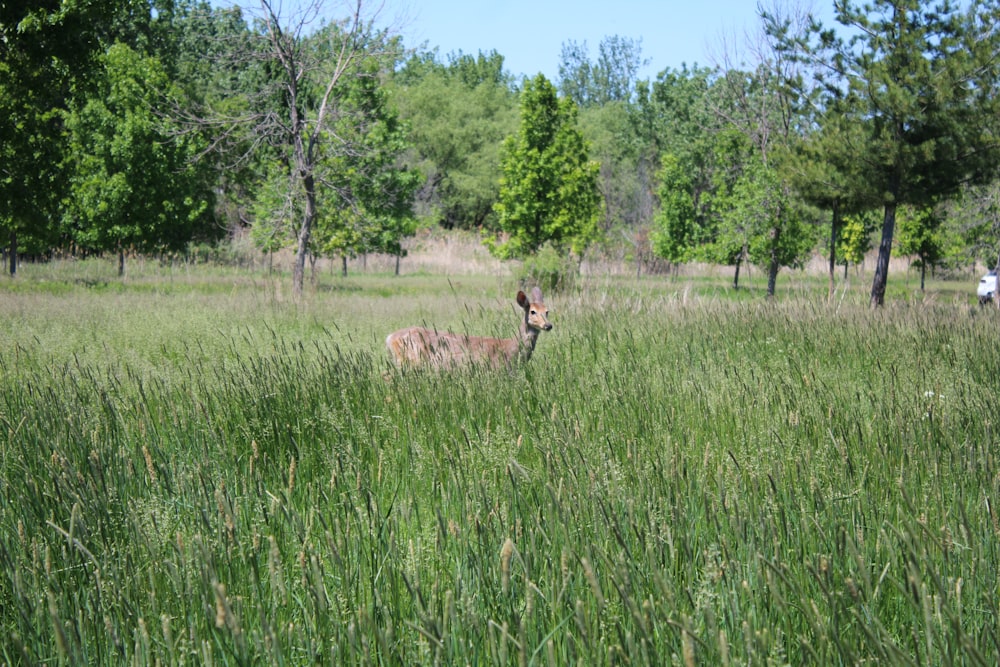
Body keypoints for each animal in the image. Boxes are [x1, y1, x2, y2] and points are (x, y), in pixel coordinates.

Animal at [384, 288, 556, 370]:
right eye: (532, 311)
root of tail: (390, 337)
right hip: (409, 361)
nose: (548, 325)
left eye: (547, 311)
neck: (512, 351)